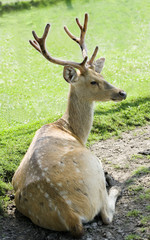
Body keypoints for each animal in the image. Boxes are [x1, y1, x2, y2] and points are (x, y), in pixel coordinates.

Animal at [12, 13, 126, 238]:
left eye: (101, 75)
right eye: (92, 82)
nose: (122, 92)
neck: (70, 129)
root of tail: (72, 217)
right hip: (93, 167)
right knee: (106, 215)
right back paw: (115, 186)